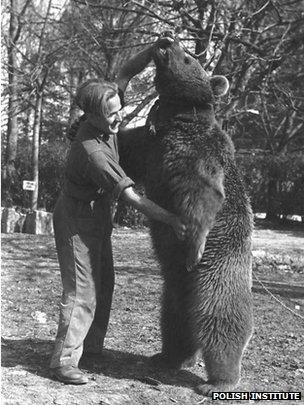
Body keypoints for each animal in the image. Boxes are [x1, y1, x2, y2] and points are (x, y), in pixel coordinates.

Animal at [117, 35, 253, 394]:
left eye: (190, 57)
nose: (165, 39)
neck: (175, 118)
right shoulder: (149, 142)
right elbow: (126, 149)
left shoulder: (195, 152)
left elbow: (203, 192)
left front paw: (194, 242)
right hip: (175, 289)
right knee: (174, 321)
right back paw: (168, 356)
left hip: (218, 271)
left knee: (221, 319)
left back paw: (219, 380)